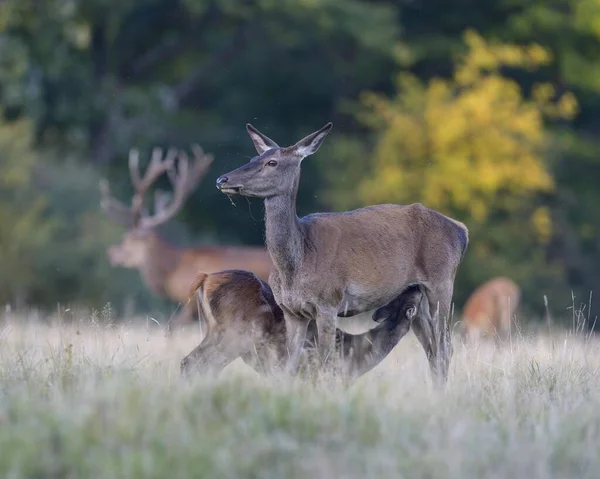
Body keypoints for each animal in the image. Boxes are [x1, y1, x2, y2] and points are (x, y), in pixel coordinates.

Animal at [179, 270, 426, 382]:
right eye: (411, 299)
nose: (417, 286)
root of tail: (206, 278)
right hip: (236, 335)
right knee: (198, 364)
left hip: (215, 332)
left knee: (192, 362)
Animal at [216, 123, 468, 386]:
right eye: (253, 158)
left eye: (272, 162)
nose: (222, 179)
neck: (297, 263)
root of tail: (462, 231)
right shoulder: (291, 311)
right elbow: (289, 363)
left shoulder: (329, 302)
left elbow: (325, 361)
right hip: (416, 292)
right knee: (431, 347)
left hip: (442, 282)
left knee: (444, 346)